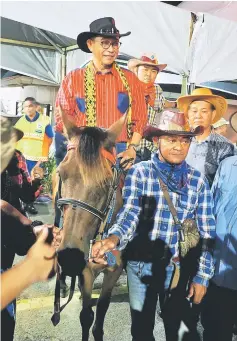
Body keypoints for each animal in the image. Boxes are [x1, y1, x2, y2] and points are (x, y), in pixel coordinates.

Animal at [55, 110, 126, 338]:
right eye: (61, 173)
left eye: (107, 182)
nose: (70, 256)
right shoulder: (85, 271)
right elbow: (86, 316)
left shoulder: (115, 269)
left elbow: (101, 311)